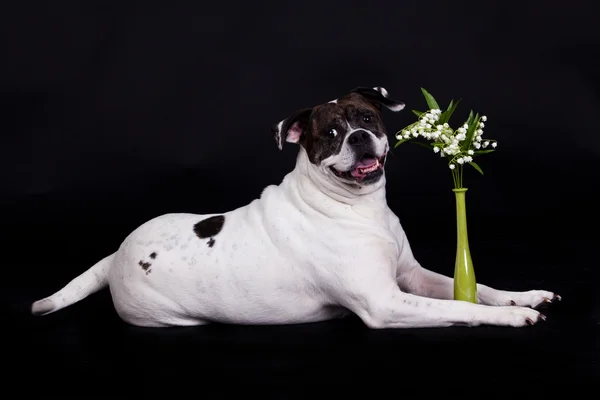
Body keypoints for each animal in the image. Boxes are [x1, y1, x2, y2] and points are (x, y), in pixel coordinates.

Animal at [31, 86, 556, 328]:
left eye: (367, 118)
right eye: (331, 133)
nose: (359, 137)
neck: (354, 208)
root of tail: (116, 253)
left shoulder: (413, 276)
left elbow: (476, 288)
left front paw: (522, 297)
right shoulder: (386, 303)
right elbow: (462, 308)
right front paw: (511, 319)